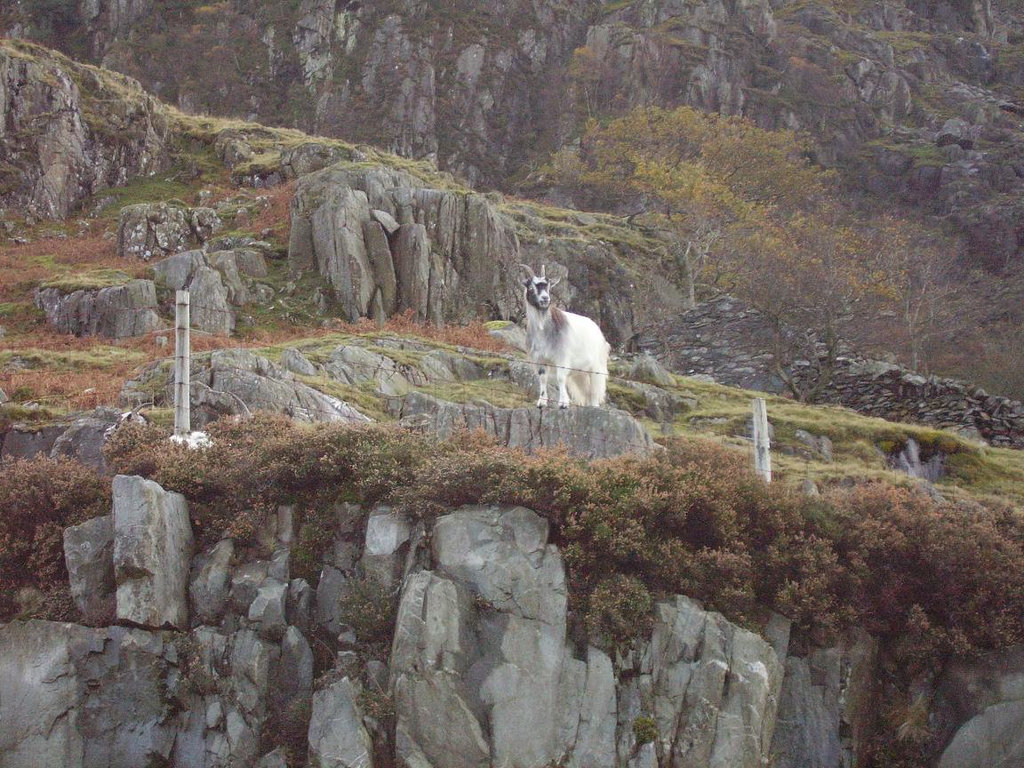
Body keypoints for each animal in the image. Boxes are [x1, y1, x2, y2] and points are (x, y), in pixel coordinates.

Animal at [520, 264, 606, 409]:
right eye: (531, 287)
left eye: (549, 287)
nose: (545, 299)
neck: (543, 330)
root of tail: (597, 331)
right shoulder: (540, 359)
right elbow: (543, 378)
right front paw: (541, 402)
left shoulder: (562, 357)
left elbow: (560, 378)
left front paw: (563, 404)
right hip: (580, 372)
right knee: (587, 390)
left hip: (596, 366)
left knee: (595, 388)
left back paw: (594, 406)